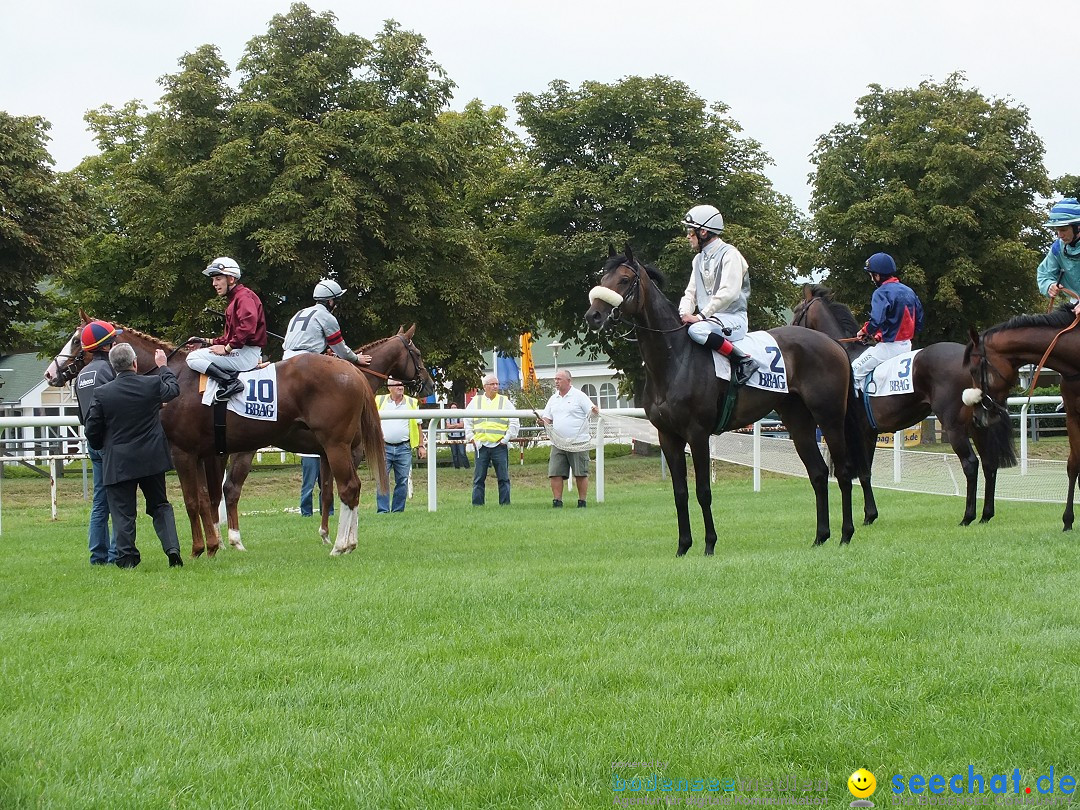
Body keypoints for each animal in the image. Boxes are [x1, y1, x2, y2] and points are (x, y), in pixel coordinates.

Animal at [219, 326, 434, 548]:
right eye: (417, 353)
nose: (430, 384)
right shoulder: (350, 452)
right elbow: (347, 490)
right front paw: (347, 536)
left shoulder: (325, 454)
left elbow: (327, 494)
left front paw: (325, 534)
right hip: (245, 449)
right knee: (230, 489)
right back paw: (233, 541)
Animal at [583, 244, 868, 557]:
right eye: (602, 277)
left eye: (623, 279)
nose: (593, 315)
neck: (675, 359)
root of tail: (834, 344)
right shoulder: (667, 436)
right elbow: (680, 492)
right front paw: (683, 546)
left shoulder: (697, 434)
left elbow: (703, 491)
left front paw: (709, 544)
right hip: (798, 422)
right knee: (818, 473)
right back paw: (820, 537)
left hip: (829, 418)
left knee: (843, 472)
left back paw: (845, 534)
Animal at [794, 285, 1010, 527]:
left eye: (797, 311)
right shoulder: (870, 432)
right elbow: (866, 472)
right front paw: (871, 514)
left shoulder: (860, 432)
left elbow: (863, 472)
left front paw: (869, 516)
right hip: (978, 425)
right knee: (989, 463)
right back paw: (986, 515)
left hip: (954, 425)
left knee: (970, 464)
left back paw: (967, 516)